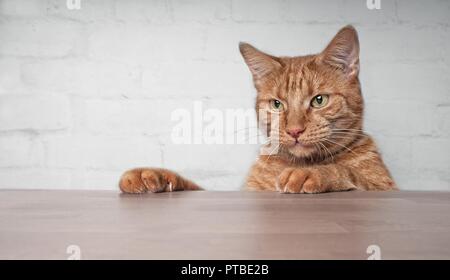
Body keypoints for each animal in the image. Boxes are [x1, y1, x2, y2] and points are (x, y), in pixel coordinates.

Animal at [118, 25, 396, 194]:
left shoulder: (385, 187)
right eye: (277, 104)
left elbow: (350, 174)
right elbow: (190, 185)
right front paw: (150, 174)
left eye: (319, 100)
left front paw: (312, 173)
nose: (294, 130)